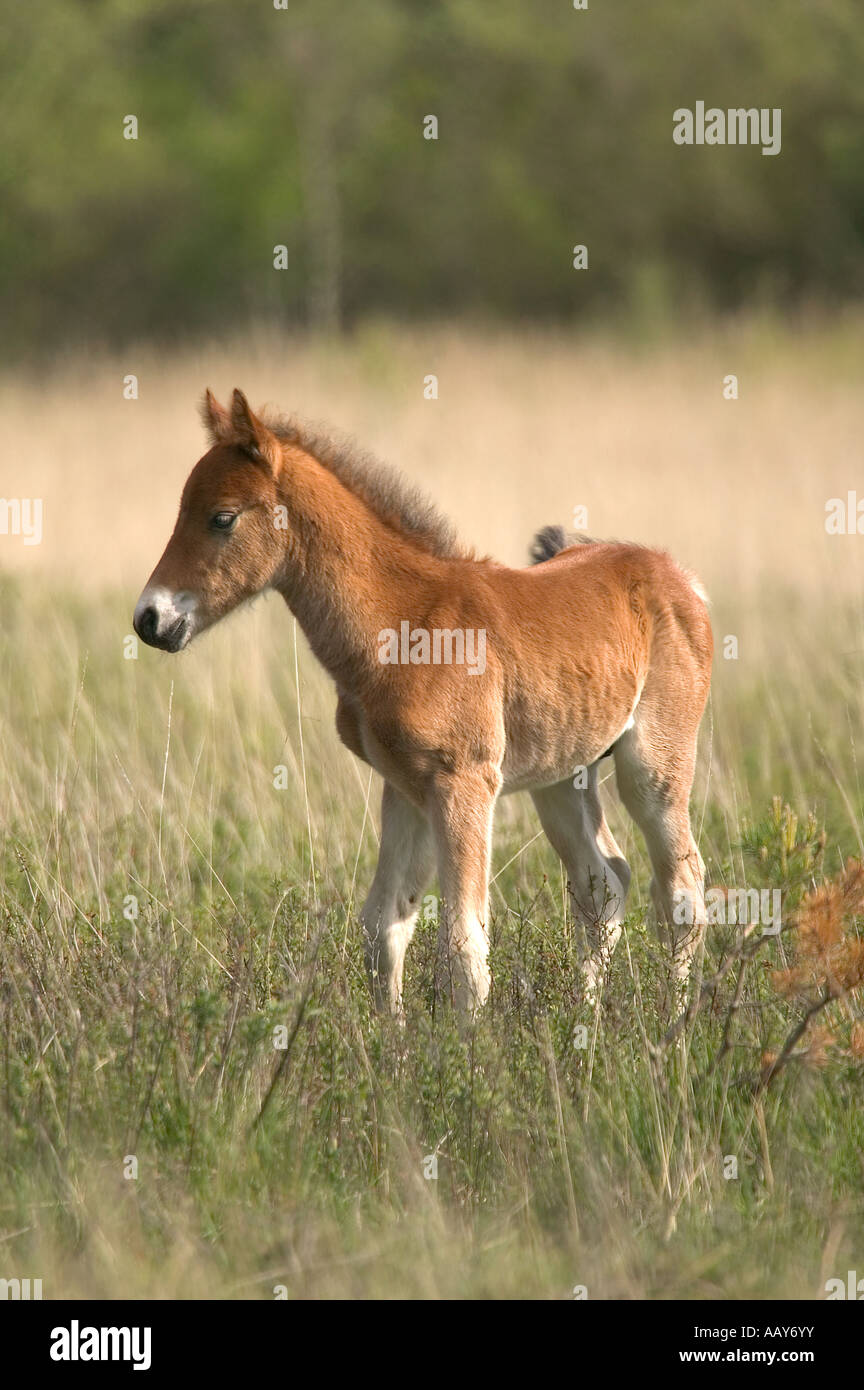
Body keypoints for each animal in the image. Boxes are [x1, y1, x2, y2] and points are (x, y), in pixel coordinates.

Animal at [135, 391, 716, 1023]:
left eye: (222, 517)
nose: (150, 619)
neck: (403, 620)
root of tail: (679, 576)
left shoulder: (463, 782)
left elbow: (463, 942)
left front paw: (468, 1050)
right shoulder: (404, 786)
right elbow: (384, 926)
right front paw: (394, 1045)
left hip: (653, 765)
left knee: (683, 889)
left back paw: (675, 1027)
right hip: (562, 773)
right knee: (603, 885)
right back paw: (584, 1025)